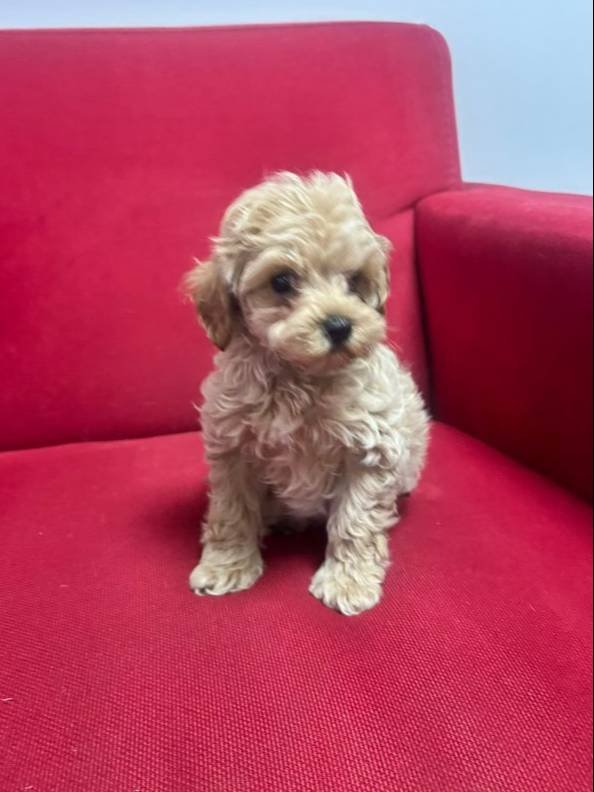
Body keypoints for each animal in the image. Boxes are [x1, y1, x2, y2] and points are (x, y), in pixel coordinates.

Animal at [184, 172, 429, 615]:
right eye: (281, 281)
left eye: (354, 281)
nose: (339, 325)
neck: (300, 376)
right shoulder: (231, 445)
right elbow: (231, 511)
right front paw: (226, 566)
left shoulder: (370, 447)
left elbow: (356, 520)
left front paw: (347, 582)